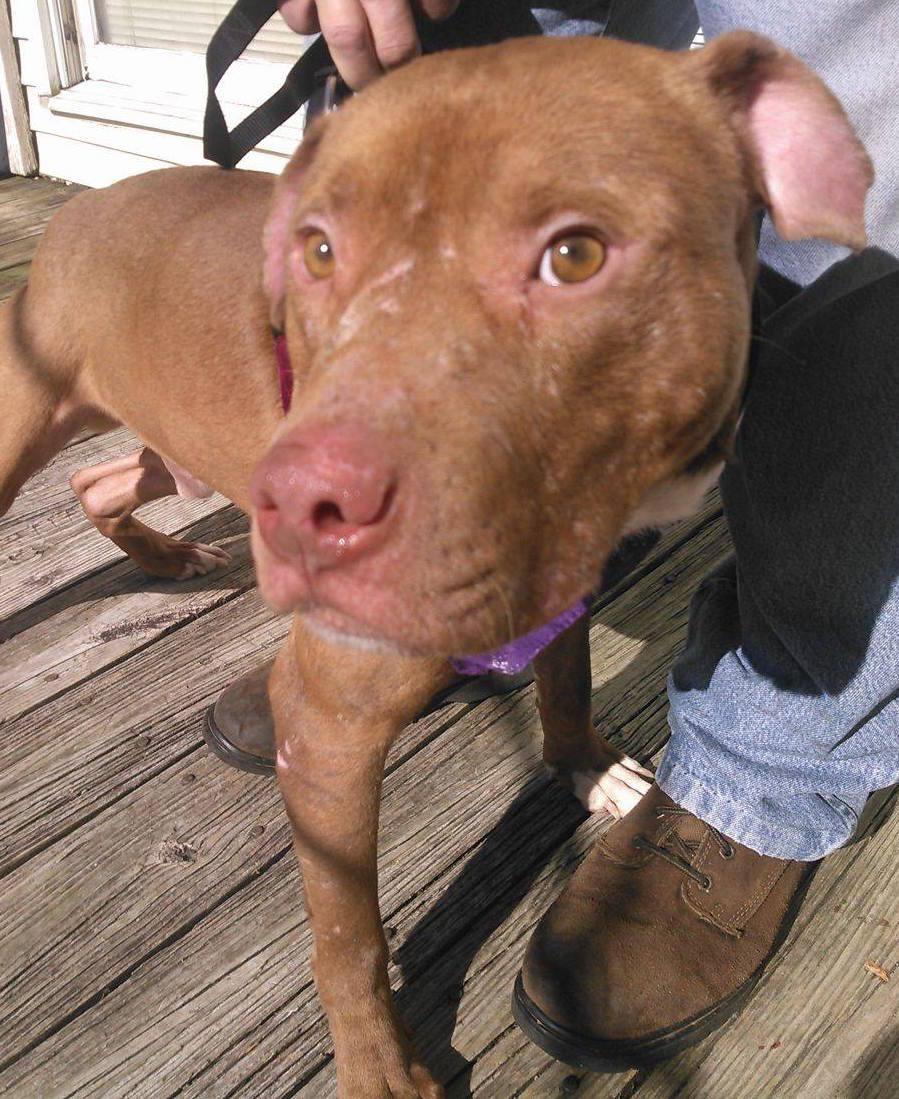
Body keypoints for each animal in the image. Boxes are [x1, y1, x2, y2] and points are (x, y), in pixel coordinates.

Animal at [1, 30, 870, 1099]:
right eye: (320, 249)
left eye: (575, 254)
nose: (304, 507)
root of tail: (79, 207)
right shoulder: (327, 736)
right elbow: (348, 935)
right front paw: (378, 1064)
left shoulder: (556, 582)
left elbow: (566, 679)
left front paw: (585, 769)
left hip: (170, 435)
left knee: (102, 485)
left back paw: (164, 552)